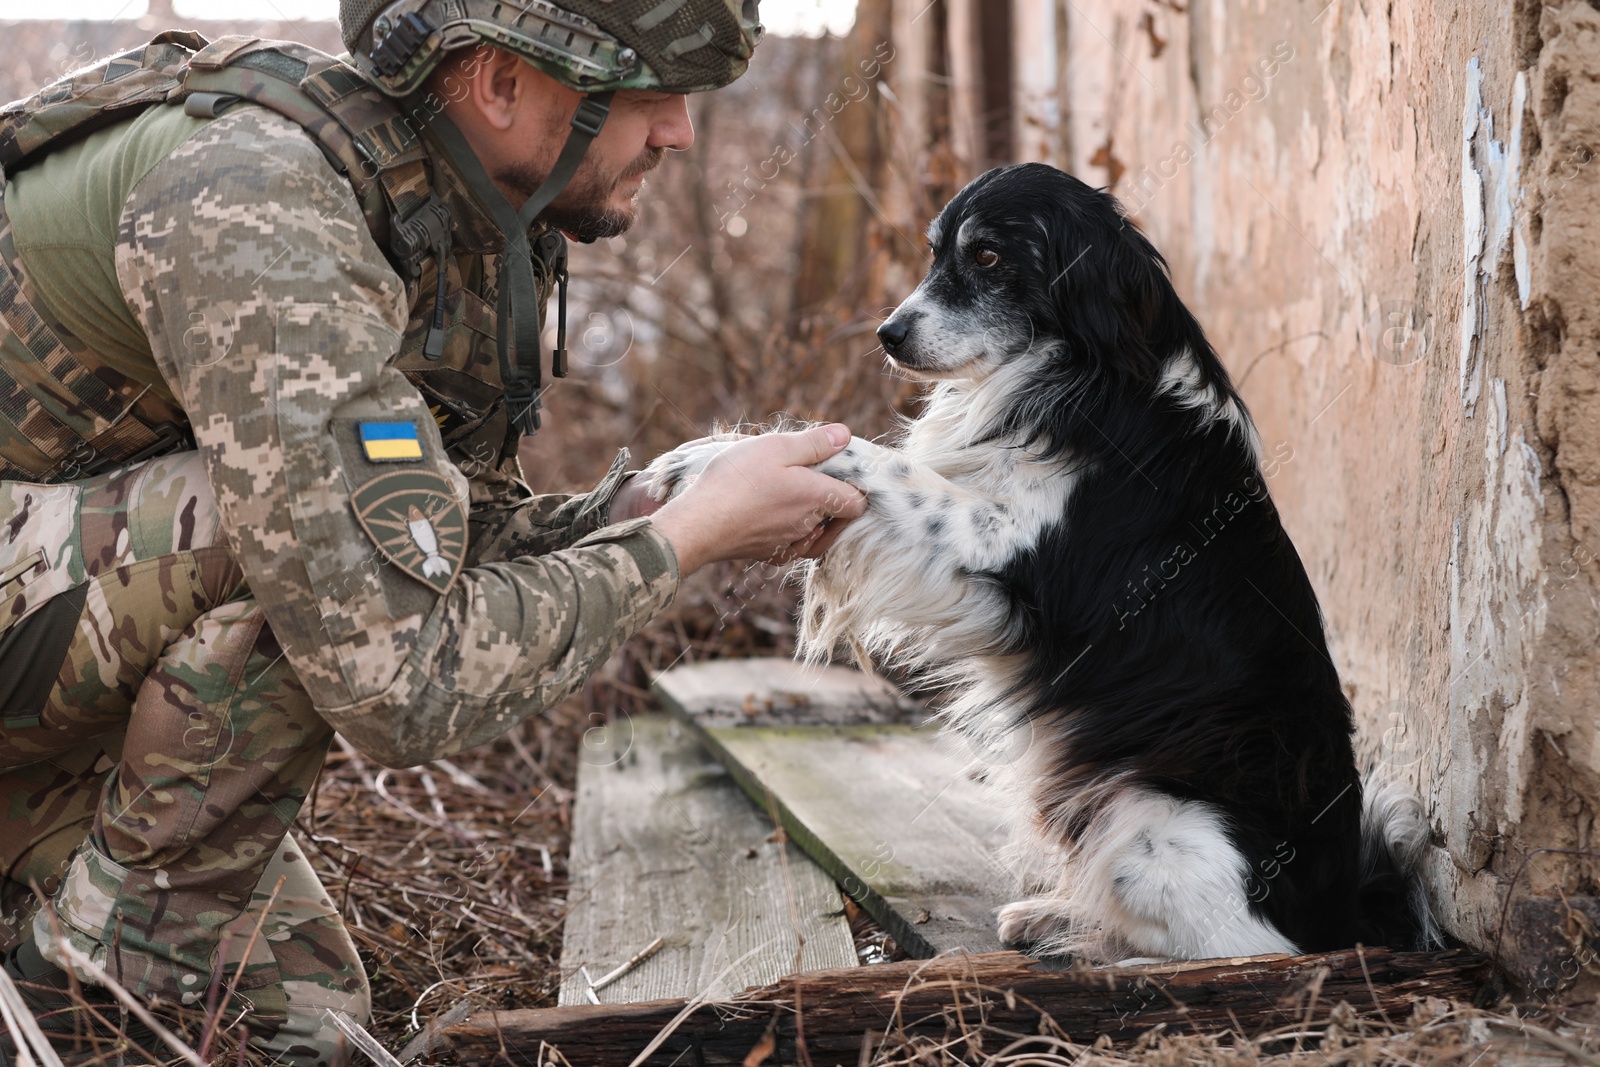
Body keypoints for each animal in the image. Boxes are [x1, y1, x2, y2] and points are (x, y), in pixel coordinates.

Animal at [646, 164, 1440, 959]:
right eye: (935, 253)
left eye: (989, 256)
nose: (888, 334)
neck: (1078, 371)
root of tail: (1347, 910)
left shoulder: (995, 540)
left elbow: (874, 462)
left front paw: (714, 459)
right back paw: (1055, 918)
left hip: (1148, 823)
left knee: (1248, 948)